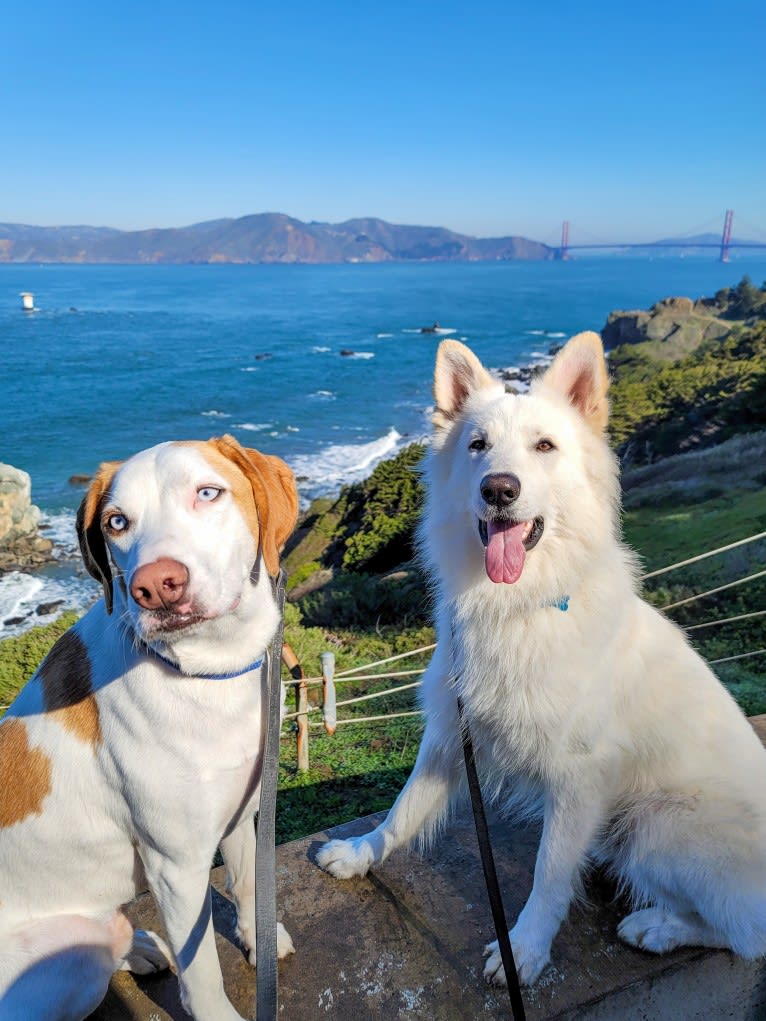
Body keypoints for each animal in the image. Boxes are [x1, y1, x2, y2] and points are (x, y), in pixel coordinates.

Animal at [0, 436, 298, 1021]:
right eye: (116, 522)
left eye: (208, 493)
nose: (156, 587)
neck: (208, 673)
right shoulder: (176, 866)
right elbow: (201, 970)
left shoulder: (240, 813)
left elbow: (249, 882)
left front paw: (260, 941)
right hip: (68, 960)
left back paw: (140, 948)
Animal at [318, 330, 766, 984]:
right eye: (478, 446)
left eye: (544, 446)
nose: (499, 489)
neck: (517, 607)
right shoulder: (452, 735)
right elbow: (403, 810)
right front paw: (361, 854)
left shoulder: (578, 776)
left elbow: (549, 873)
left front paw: (525, 948)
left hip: (659, 824)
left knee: (745, 933)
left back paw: (657, 927)